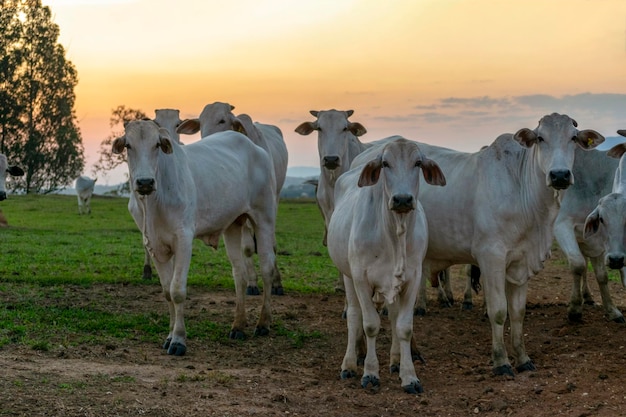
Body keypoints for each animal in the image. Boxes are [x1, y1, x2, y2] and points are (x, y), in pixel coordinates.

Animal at [112, 118, 278, 354]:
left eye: (156, 145)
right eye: (128, 145)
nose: (145, 182)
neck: (153, 202)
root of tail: (256, 148)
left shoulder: (183, 240)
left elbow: (177, 290)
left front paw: (178, 340)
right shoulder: (154, 245)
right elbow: (167, 291)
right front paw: (169, 336)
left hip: (264, 218)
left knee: (267, 269)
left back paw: (263, 323)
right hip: (233, 225)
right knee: (240, 275)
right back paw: (238, 325)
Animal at [173, 102, 286, 294]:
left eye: (222, 120)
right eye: (201, 123)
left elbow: (269, 245)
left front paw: (275, 283)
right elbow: (247, 248)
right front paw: (252, 283)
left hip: (275, 198)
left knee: (272, 243)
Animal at [326, 138, 444, 392]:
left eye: (418, 163)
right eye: (385, 163)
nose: (402, 199)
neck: (394, 233)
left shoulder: (412, 279)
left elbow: (404, 327)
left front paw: (408, 375)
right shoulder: (361, 278)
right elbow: (370, 324)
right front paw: (370, 373)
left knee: (392, 316)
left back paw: (395, 360)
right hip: (348, 276)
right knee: (354, 315)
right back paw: (349, 364)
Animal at [412, 113, 604, 374]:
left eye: (573, 138)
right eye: (540, 138)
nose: (560, 175)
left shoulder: (521, 262)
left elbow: (518, 313)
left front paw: (523, 358)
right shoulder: (490, 257)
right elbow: (499, 310)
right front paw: (501, 361)